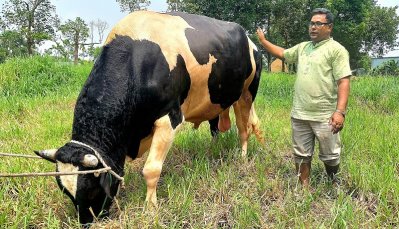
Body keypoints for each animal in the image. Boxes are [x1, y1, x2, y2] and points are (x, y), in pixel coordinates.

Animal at [36, 10, 264, 224]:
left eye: (91, 188)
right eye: (65, 191)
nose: (86, 222)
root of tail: (250, 40)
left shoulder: (169, 118)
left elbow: (151, 170)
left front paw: (151, 207)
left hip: (247, 93)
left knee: (244, 127)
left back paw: (242, 157)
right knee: (216, 127)